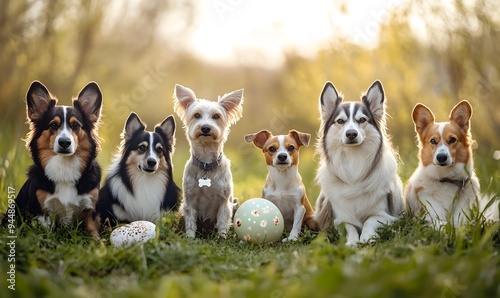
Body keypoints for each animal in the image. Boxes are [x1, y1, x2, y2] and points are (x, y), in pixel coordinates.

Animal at [15, 80, 103, 239]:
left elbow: (96, 238)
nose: (64, 143)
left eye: (75, 125)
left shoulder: (89, 212)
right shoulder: (43, 213)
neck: (65, 165)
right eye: (53, 125)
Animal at [314, 80, 404, 246]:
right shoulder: (339, 218)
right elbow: (349, 226)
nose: (351, 134)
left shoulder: (385, 215)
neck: (354, 159)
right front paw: (352, 241)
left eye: (362, 119)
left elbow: (370, 220)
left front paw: (367, 236)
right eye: (340, 121)